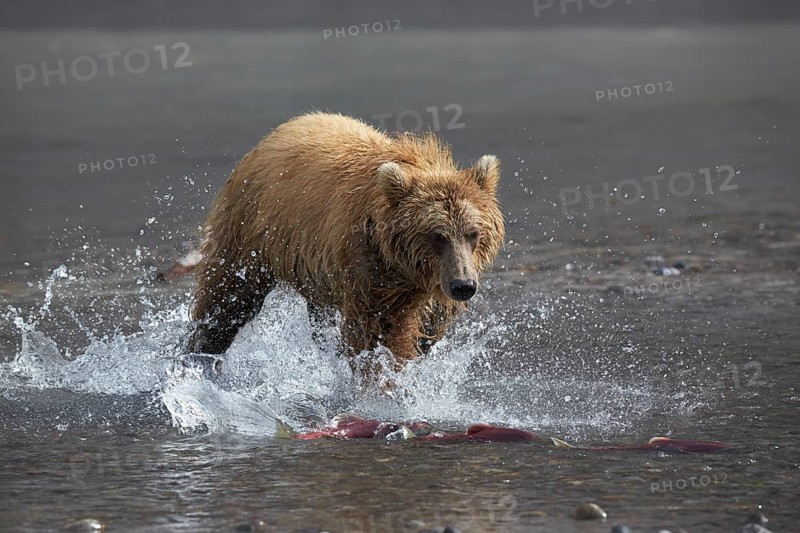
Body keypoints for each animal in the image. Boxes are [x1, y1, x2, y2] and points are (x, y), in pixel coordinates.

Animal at [187, 112, 504, 375]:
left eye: (473, 233)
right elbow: (375, 332)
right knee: (227, 299)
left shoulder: (432, 289)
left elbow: (427, 329)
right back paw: (200, 351)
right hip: (250, 231)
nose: (463, 285)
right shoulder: (370, 271)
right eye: (437, 235)